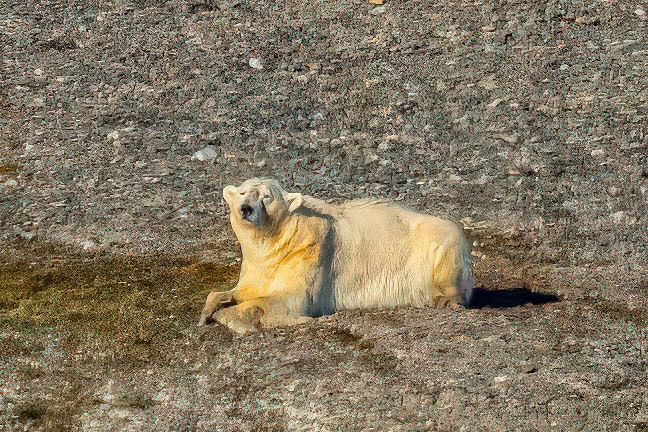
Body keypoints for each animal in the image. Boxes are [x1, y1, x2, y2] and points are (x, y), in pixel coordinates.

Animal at [198, 178, 474, 335]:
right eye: (242, 193)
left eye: (266, 196)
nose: (246, 209)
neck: (276, 238)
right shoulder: (259, 262)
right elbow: (245, 288)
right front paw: (210, 308)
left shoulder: (311, 249)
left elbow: (291, 299)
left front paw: (228, 317)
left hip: (439, 244)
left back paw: (443, 300)